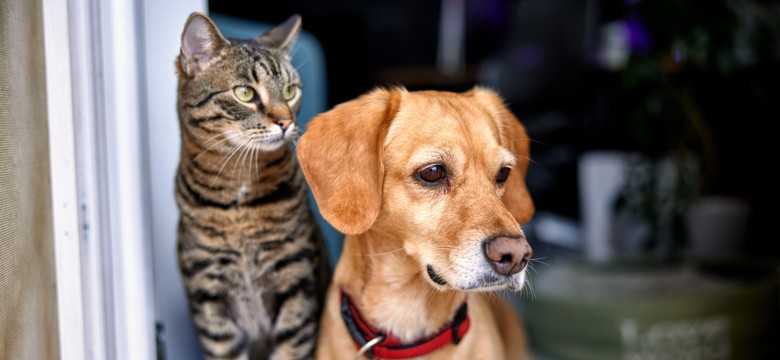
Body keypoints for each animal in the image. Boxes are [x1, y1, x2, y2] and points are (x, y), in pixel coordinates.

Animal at [174, 11, 330, 360]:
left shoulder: (295, 279)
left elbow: (291, 347)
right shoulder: (209, 294)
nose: (286, 122)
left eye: (290, 91)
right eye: (245, 93)